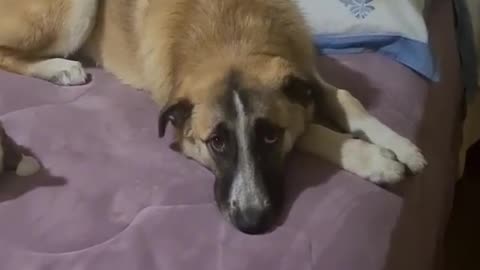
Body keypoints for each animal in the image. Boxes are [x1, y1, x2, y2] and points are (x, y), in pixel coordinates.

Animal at [0, 0, 428, 234]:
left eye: (269, 136)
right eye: (216, 142)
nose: (253, 223)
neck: (231, 37)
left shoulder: (304, 73)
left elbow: (346, 98)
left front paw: (399, 146)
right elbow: (311, 130)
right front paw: (374, 160)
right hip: (71, 15)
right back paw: (59, 68)